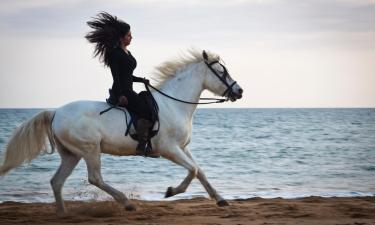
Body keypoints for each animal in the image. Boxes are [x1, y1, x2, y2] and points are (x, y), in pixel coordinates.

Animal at [0, 50, 244, 215]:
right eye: (222, 72)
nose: (239, 91)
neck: (173, 104)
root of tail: (56, 112)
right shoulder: (169, 149)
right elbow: (192, 170)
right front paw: (171, 191)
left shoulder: (183, 147)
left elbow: (200, 171)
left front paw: (220, 199)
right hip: (89, 149)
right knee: (95, 178)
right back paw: (127, 202)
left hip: (72, 154)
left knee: (56, 181)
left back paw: (63, 213)